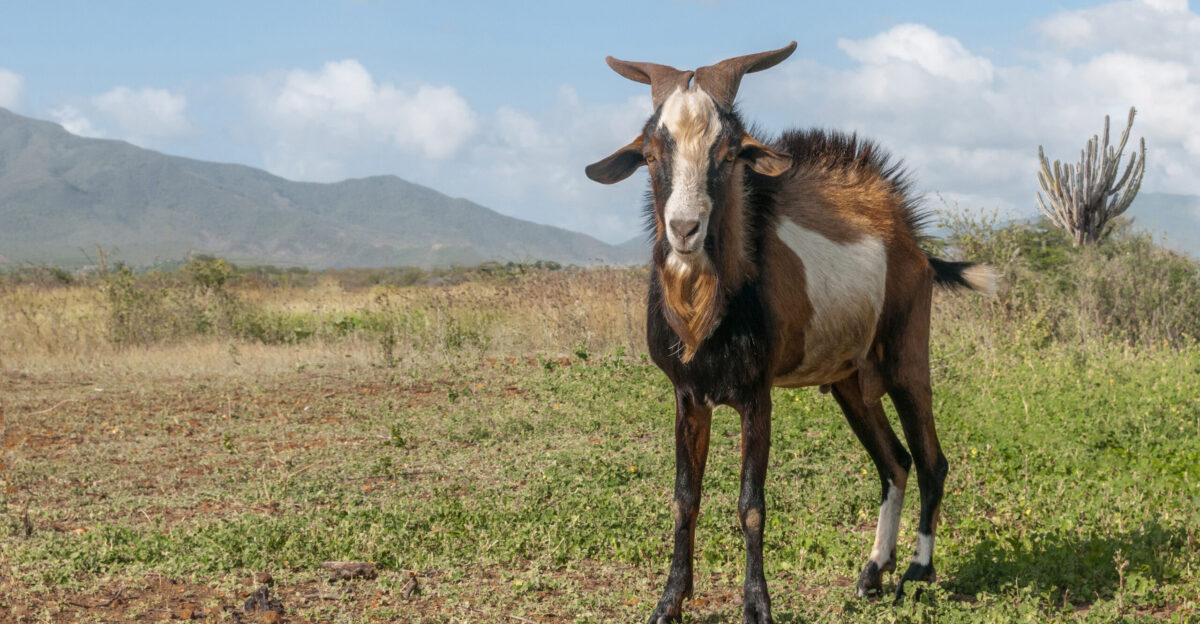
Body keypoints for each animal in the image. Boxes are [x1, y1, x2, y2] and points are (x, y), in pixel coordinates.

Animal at [585, 42, 997, 624]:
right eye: (649, 153)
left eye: (729, 153)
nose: (685, 230)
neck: (710, 312)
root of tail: (913, 244)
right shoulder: (689, 394)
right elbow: (685, 499)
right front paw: (669, 603)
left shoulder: (757, 394)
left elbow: (751, 504)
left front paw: (757, 605)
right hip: (851, 380)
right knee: (895, 462)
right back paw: (873, 572)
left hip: (906, 359)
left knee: (932, 460)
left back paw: (916, 574)